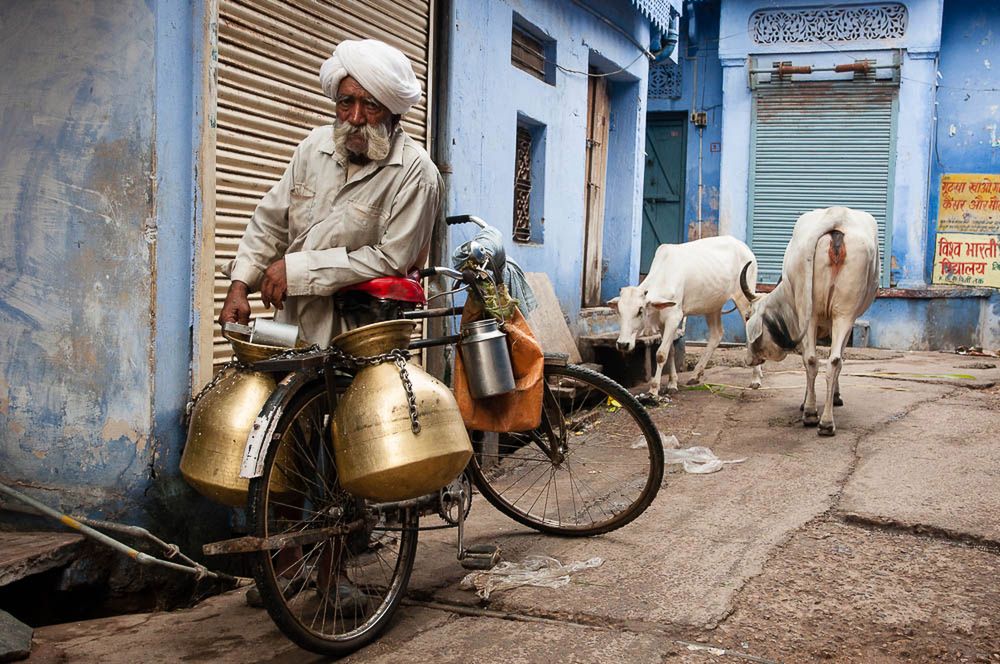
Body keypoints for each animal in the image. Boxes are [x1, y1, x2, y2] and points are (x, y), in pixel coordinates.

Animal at [608, 237, 764, 396]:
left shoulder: (674, 317)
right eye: (619, 311)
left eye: (640, 310)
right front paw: (672, 383)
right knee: (716, 334)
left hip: (744, 298)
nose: (622, 344)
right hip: (712, 305)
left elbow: (661, 354)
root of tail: (743, 246)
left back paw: (756, 379)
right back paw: (695, 375)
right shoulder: (664, 323)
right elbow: (670, 351)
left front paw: (654, 389)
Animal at [740, 208, 880, 436]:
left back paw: (817, 417)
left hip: (822, 313)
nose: (749, 359)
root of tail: (836, 217)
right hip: (842, 314)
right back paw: (821, 419)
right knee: (827, 361)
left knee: (818, 360)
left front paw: (810, 402)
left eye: (748, 316)